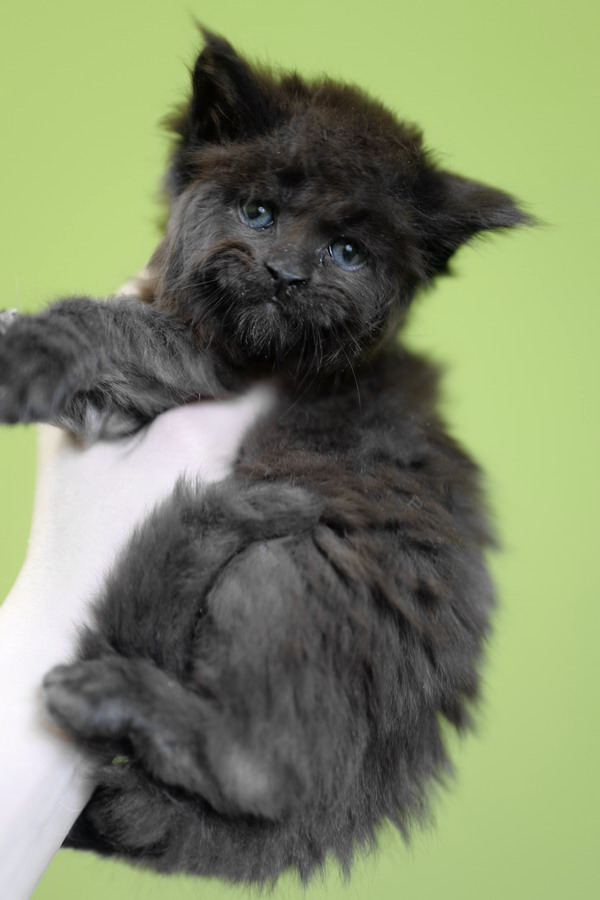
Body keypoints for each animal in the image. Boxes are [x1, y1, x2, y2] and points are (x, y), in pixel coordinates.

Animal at [0, 30, 530, 886]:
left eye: (348, 252)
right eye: (258, 212)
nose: (286, 275)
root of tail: (347, 811)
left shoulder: (212, 367)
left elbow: (103, 326)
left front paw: (21, 351)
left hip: (283, 569)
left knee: (262, 771)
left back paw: (115, 695)